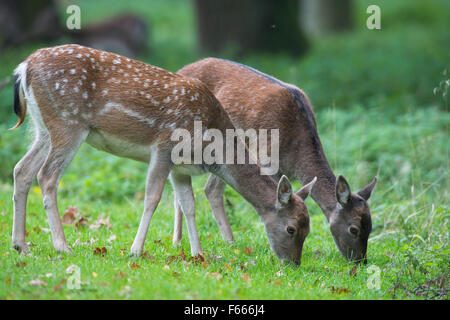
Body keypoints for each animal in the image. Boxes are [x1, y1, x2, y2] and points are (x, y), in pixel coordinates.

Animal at [9, 45, 316, 264]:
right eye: (291, 228)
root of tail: (24, 67)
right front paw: (135, 250)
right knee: (46, 176)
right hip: (68, 122)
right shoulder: (165, 146)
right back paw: (63, 247)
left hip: (43, 128)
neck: (212, 146)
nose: (294, 263)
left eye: (308, 229)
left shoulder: (181, 168)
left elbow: (189, 204)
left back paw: (21, 245)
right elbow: (153, 197)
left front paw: (197, 254)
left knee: (21, 170)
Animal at [178, 58, 378, 264]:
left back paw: (229, 242)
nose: (360, 261)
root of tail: (183, 68)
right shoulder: (265, 156)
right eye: (353, 229)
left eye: (371, 228)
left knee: (209, 189)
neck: (294, 152)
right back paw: (179, 241)